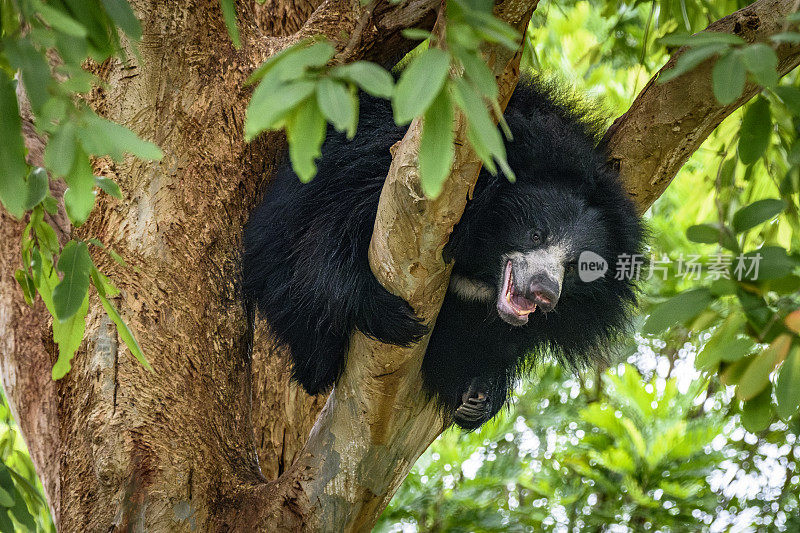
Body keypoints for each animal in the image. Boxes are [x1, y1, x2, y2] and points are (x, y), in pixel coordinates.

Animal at [244, 79, 644, 428]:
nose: (543, 292)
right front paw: (388, 315)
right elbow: (329, 237)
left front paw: (479, 396)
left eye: (575, 267)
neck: (481, 258)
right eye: (536, 233)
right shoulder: (386, 171)